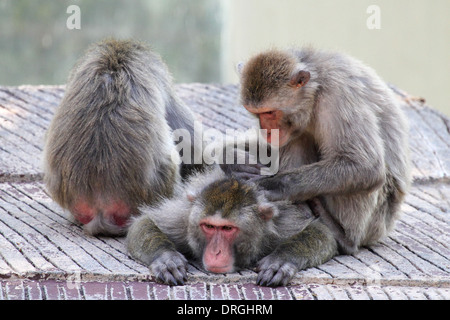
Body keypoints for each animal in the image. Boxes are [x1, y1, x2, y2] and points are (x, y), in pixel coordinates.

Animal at [126, 168, 338, 288]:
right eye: (209, 226)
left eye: (228, 229)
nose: (216, 252)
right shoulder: (183, 221)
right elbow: (145, 221)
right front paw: (166, 259)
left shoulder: (280, 226)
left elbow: (321, 232)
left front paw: (281, 261)